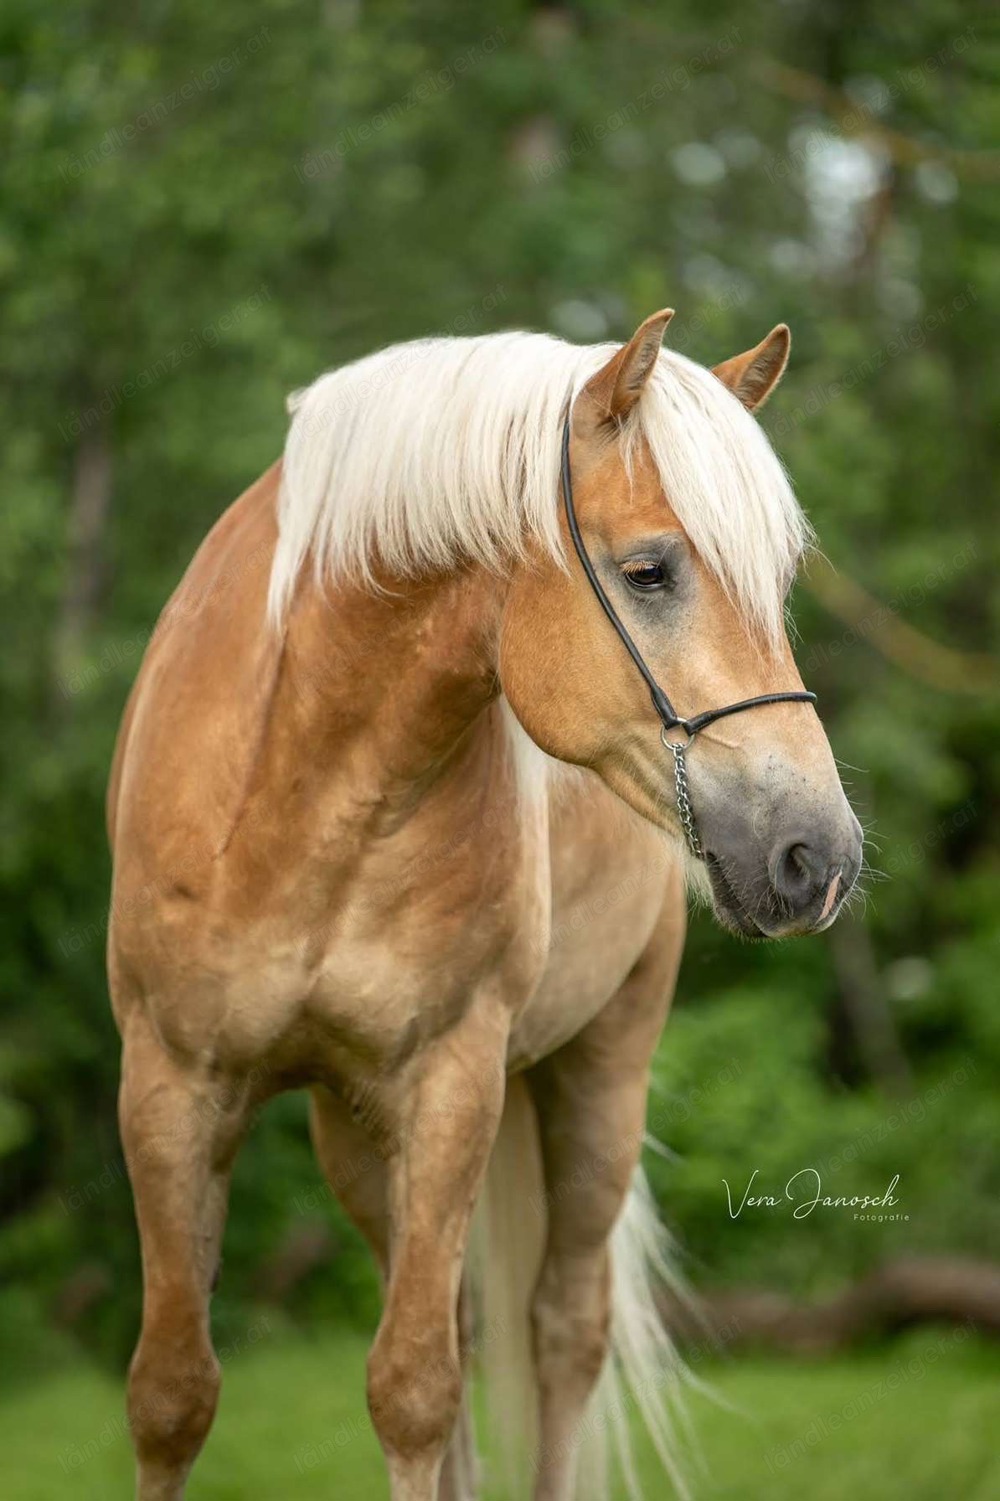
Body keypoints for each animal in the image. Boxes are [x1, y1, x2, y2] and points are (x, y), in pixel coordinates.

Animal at [107, 307, 858, 1501]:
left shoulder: (451, 1081)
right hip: (353, 1131)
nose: (817, 855)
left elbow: (410, 1388)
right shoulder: (169, 1084)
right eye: (649, 571)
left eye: (779, 577)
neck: (300, 790)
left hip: (601, 1076)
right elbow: (174, 1393)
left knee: (562, 1330)